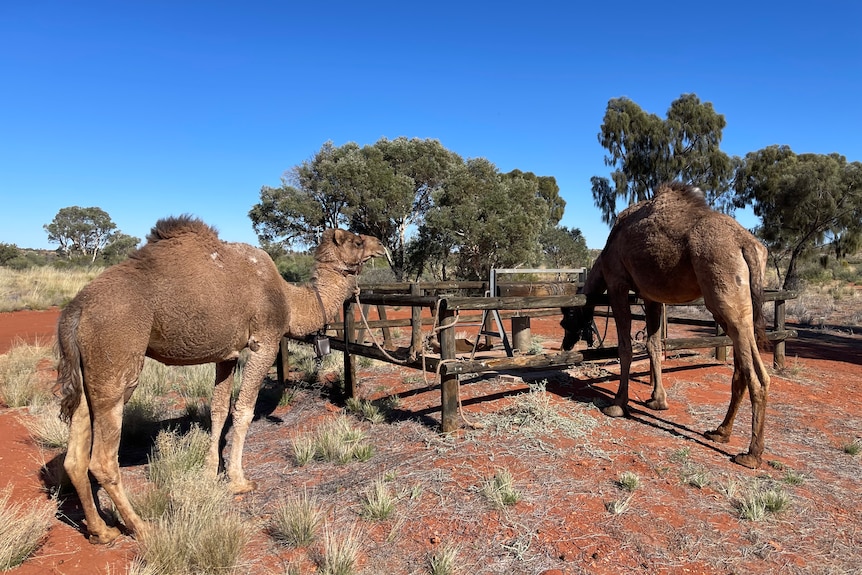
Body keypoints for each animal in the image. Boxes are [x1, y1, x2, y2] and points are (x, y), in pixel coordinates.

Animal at [55, 217, 386, 544]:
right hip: (116, 361)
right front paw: (239, 481)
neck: (290, 300)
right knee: (102, 460)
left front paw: (208, 471)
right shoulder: (264, 342)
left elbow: (218, 410)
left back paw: (101, 531)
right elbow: (243, 410)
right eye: (357, 241)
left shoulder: (227, 354)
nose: (381, 244)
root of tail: (75, 310)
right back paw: (142, 527)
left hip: (88, 374)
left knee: (74, 457)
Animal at [564, 182, 772, 470]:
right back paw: (720, 432)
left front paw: (617, 405)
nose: (565, 343)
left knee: (755, 375)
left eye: (566, 319)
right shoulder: (651, 296)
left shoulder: (617, 282)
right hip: (739, 305)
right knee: (744, 367)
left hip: (723, 293)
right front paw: (657, 400)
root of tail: (747, 245)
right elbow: (652, 344)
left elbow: (626, 347)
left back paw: (751, 455)